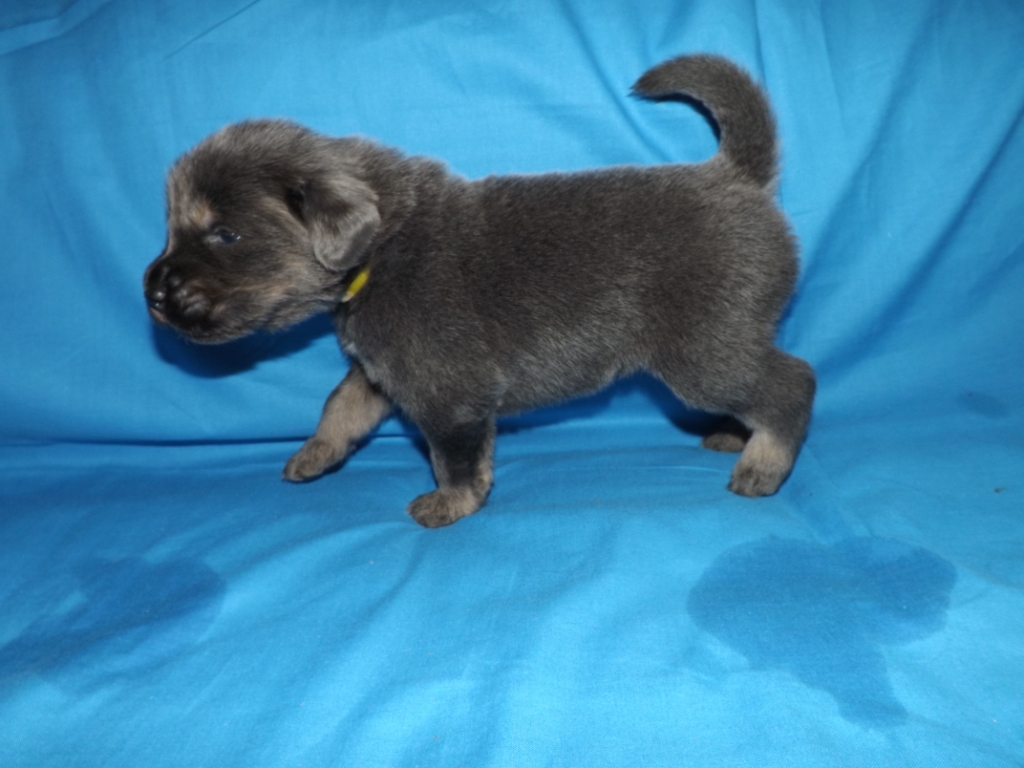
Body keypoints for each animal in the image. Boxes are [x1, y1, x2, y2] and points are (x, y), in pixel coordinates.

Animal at [144, 54, 815, 527]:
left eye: (226, 233)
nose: (152, 291)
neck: (379, 250)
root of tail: (736, 176)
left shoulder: (445, 390)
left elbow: (453, 457)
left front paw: (451, 503)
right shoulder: (379, 370)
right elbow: (341, 407)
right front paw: (315, 455)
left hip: (701, 350)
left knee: (791, 384)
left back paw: (763, 462)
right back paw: (735, 435)